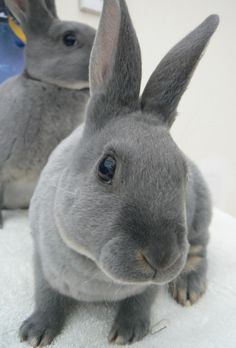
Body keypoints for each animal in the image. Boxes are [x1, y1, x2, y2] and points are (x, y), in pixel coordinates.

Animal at [18, 0, 219, 346]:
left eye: (182, 174)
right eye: (106, 167)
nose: (162, 258)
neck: (96, 270)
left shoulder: (147, 288)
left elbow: (140, 300)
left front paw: (128, 331)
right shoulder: (42, 263)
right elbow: (47, 297)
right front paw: (35, 332)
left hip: (200, 219)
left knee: (199, 248)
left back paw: (187, 287)